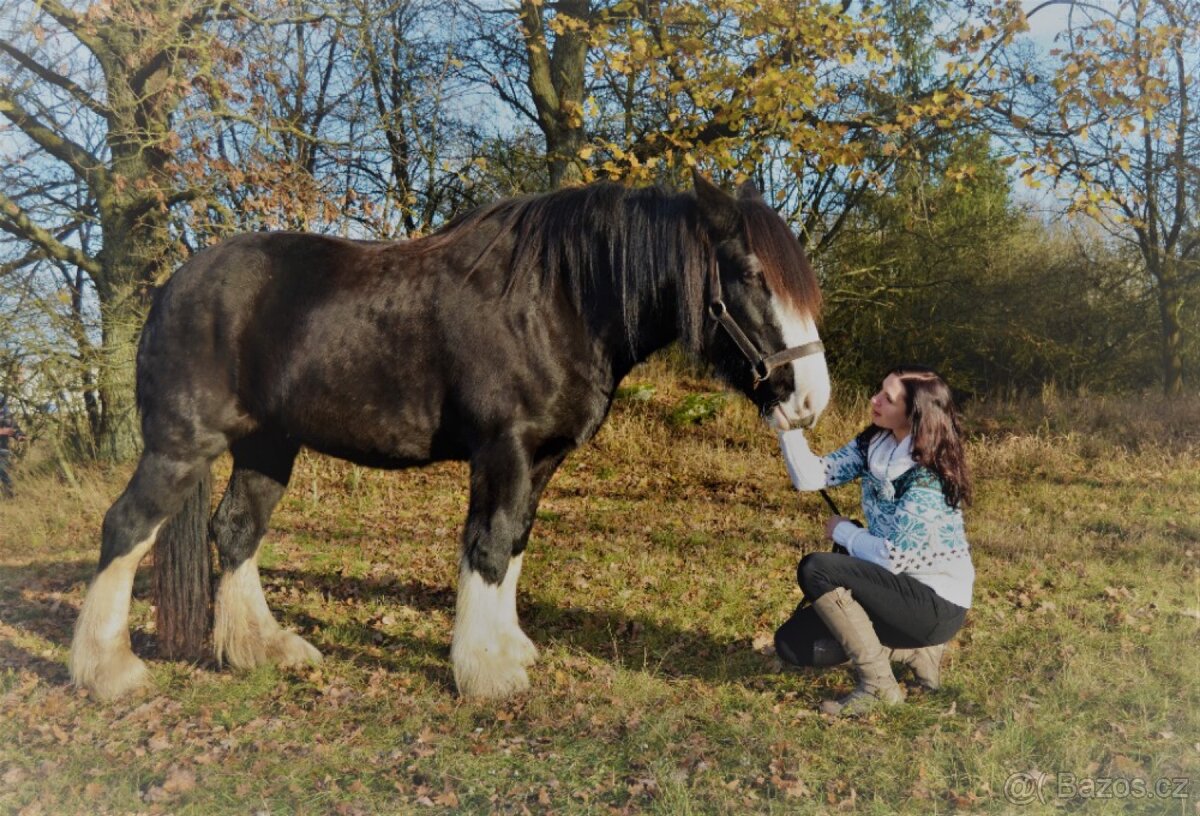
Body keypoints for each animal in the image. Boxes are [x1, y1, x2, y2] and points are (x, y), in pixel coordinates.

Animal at [68, 172, 831, 701]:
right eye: (753, 275)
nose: (811, 398)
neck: (559, 298)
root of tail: (171, 288)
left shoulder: (540, 460)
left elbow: (515, 542)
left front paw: (509, 649)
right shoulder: (504, 449)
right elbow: (487, 546)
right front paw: (485, 672)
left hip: (268, 447)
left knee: (235, 531)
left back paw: (263, 650)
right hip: (180, 444)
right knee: (126, 527)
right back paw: (108, 671)